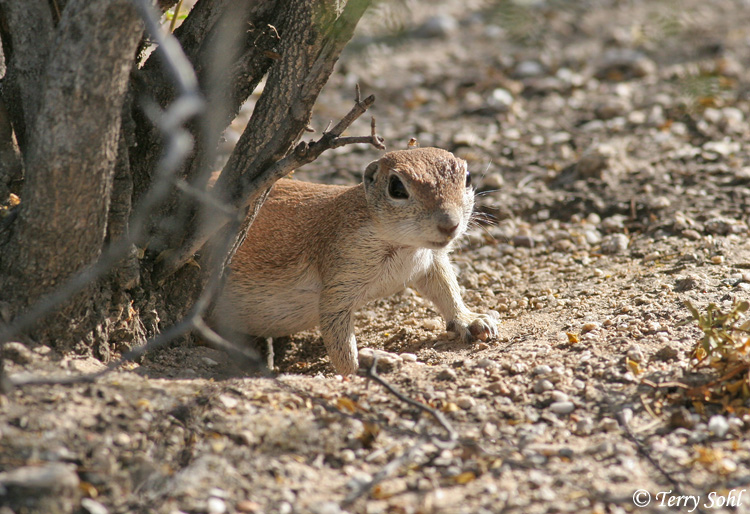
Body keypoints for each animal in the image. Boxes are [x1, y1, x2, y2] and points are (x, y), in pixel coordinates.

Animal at [214, 147, 498, 375]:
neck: (404, 246)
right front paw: (355, 371)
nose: (450, 225)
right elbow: (335, 328)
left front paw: (472, 319)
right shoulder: (342, 269)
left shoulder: (430, 260)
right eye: (396, 188)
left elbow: (445, 287)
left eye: (468, 178)